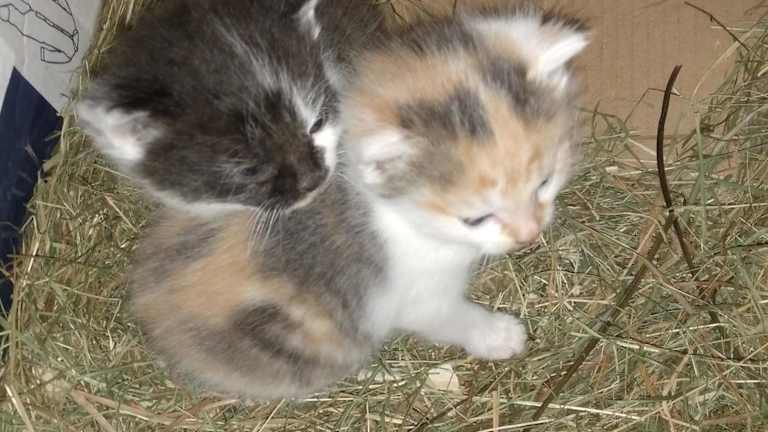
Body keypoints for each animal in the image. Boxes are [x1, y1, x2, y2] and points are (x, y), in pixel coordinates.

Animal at [129, 3, 588, 400]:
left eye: (544, 183)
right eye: (474, 219)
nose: (529, 234)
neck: (395, 211)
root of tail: (147, 305)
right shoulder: (410, 290)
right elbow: (447, 315)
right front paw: (498, 335)